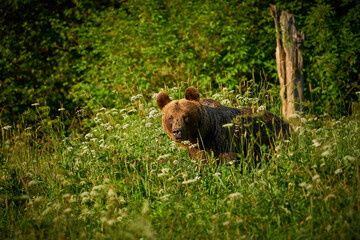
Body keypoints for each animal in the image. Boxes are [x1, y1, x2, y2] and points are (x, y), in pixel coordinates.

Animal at [157, 86, 290, 165]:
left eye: (186, 116)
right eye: (170, 117)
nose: (177, 131)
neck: (204, 134)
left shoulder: (223, 140)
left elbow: (228, 161)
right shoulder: (197, 148)